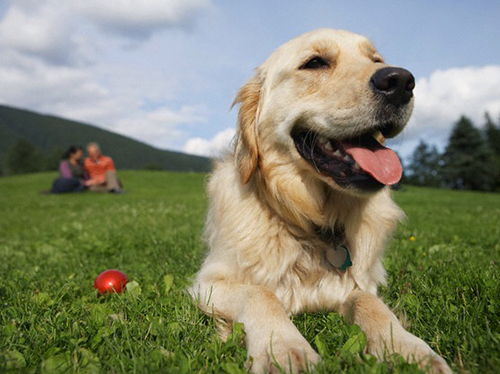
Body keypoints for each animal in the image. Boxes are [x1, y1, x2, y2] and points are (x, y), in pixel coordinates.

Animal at [189, 30, 452, 374]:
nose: (401, 81)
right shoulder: (210, 282)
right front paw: (284, 349)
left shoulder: (357, 285)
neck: (311, 223)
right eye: (315, 63)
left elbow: (369, 301)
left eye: (376, 60)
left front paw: (406, 348)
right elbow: (260, 293)